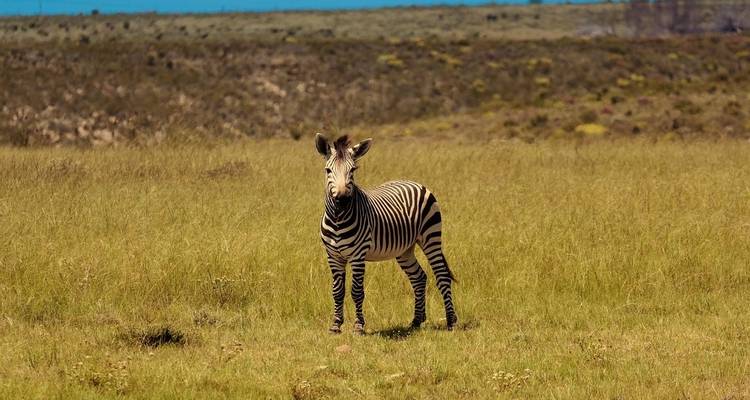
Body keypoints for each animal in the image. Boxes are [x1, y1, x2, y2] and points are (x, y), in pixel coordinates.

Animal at [315, 133, 457, 334]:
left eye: (353, 170)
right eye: (328, 170)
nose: (342, 200)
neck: (338, 219)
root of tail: (414, 182)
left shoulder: (358, 255)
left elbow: (356, 291)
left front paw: (358, 326)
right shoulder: (333, 256)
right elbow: (337, 291)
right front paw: (335, 324)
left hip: (431, 237)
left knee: (442, 276)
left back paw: (451, 321)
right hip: (405, 249)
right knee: (419, 277)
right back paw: (416, 321)